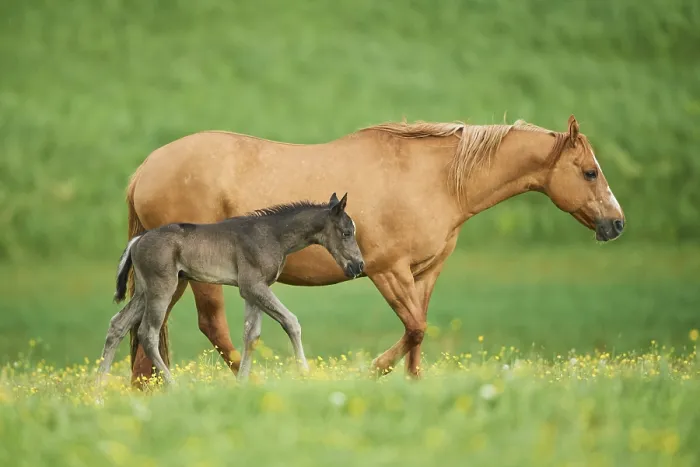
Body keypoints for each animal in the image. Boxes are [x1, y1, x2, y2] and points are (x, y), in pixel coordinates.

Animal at [97, 193, 364, 385]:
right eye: (347, 232)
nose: (359, 265)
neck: (273, 235)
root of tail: (138, 239)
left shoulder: (253, 291)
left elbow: (251, 335)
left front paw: (242, 383)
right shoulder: (252, 285)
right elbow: (290, 321)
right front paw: (305, 373)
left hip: (146, 291)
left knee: (118, 324)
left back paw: (99, 389)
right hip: (162, 288)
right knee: (147, 333)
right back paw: (173, 385)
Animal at [123, 114, 625, 385]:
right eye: (589, 172)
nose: (616, 223)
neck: (435, 179)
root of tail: (145, 168)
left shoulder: (424, 274)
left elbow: (419, 330)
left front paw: (413, 383)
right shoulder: (388, 271)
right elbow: (415, 328)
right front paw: (374, 371)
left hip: (174, 278)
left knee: (146, 329)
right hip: (200, 280)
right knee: (211, 327)